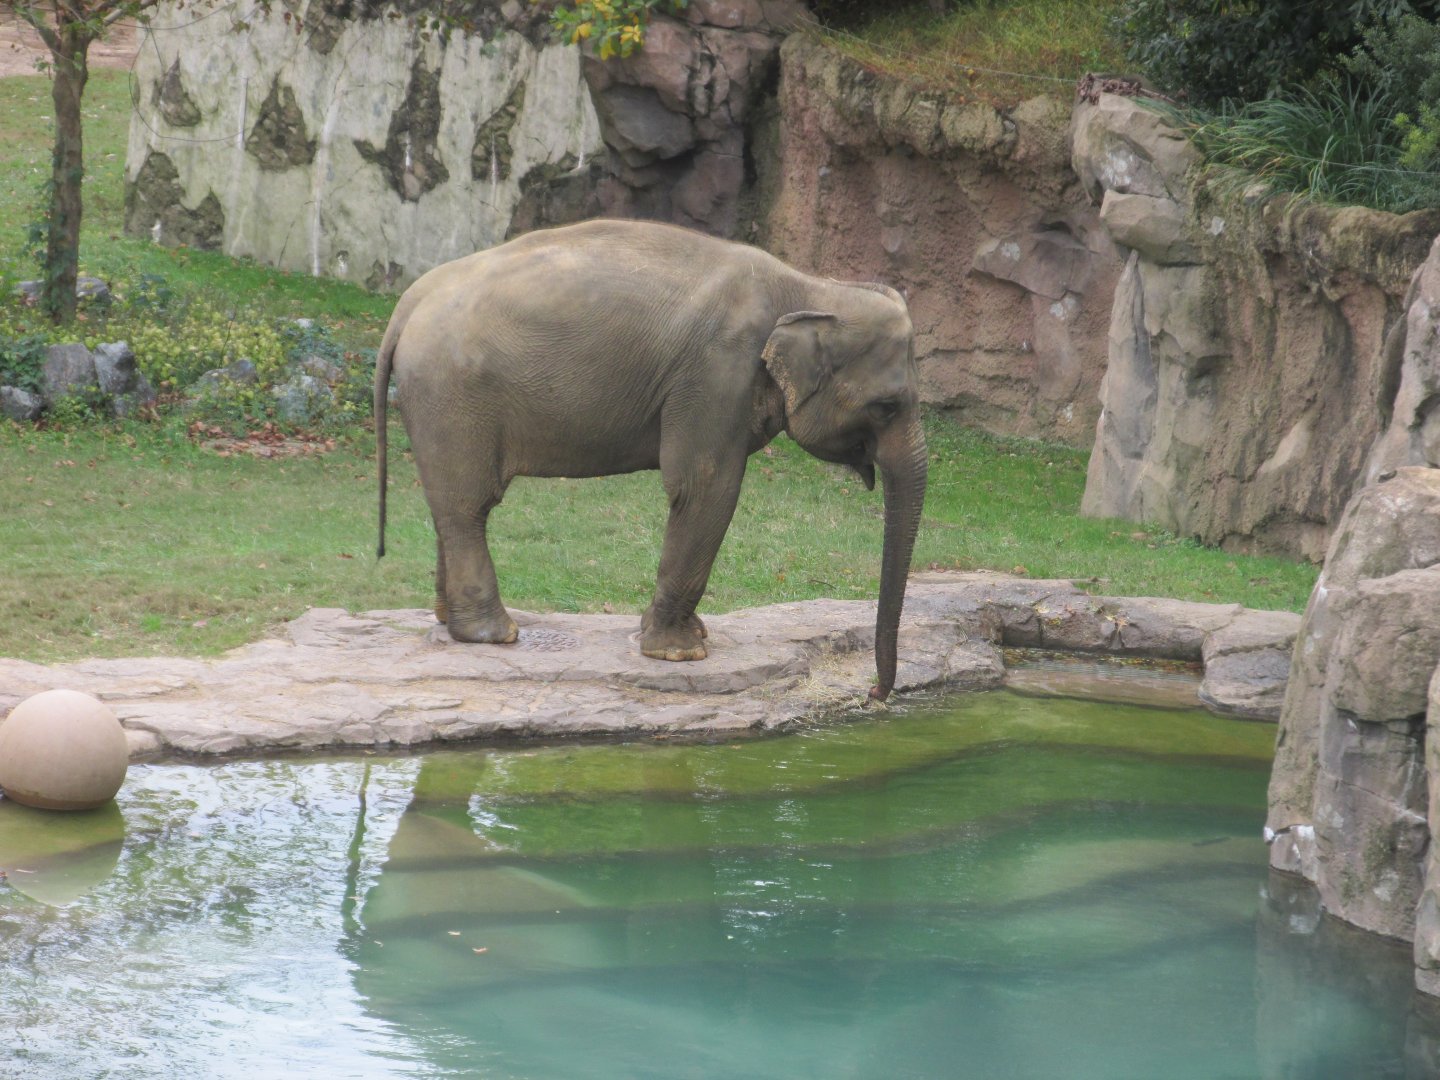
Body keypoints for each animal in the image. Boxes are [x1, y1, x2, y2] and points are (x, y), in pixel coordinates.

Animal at [374, 219, 927, 701]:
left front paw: (687, 636)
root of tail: (408, 302)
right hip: (452, 394)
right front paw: (680, 653)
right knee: (469, 506)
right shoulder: (717, 372)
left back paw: (449, 622)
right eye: (886, 406)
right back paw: (493, 634)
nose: (873, 694)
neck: (812, 287)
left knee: (451, 506)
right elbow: (705, 488)